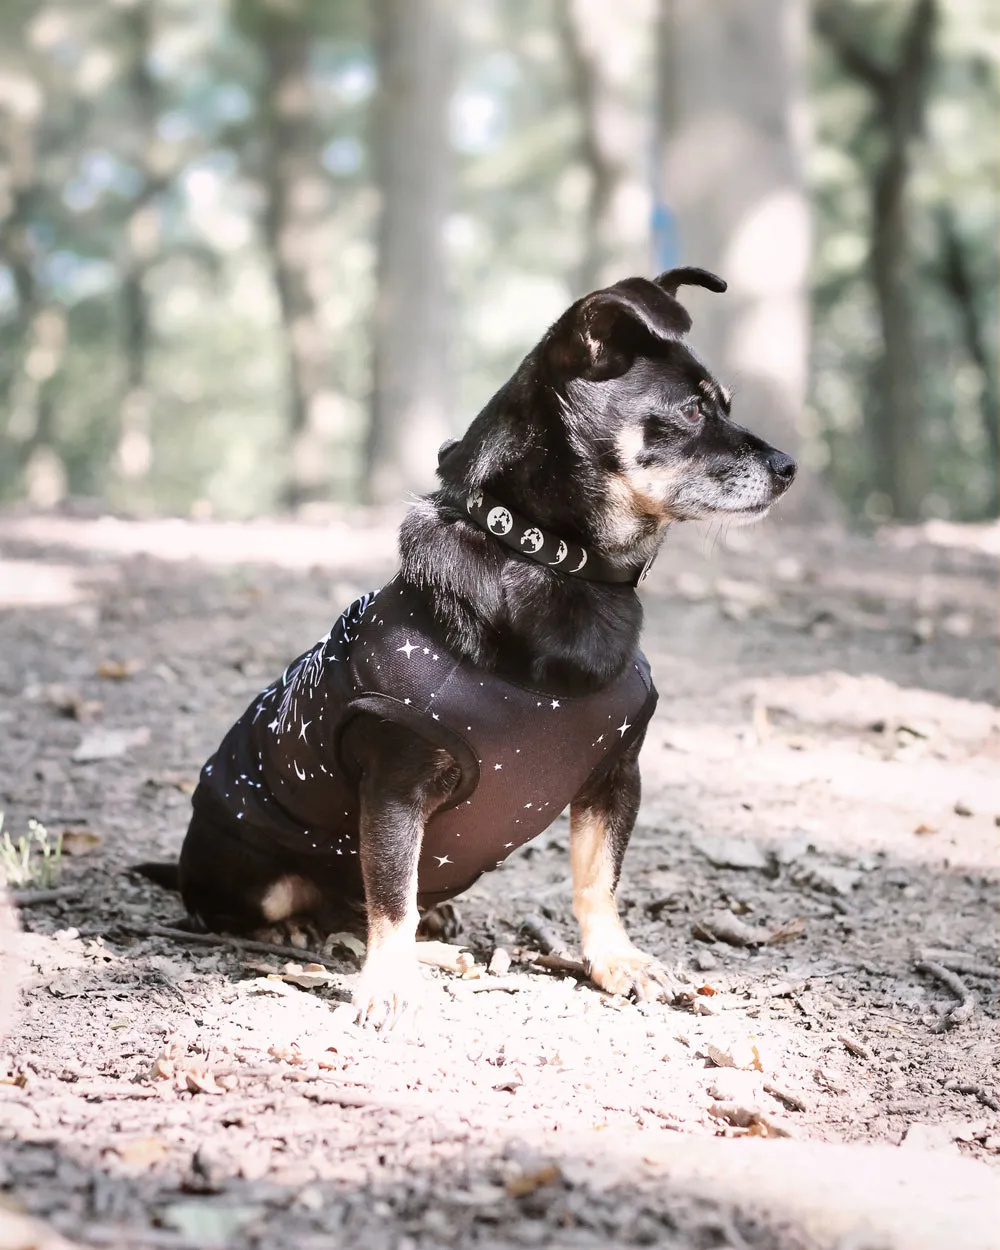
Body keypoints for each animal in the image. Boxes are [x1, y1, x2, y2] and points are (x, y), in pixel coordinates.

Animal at [140, 271, 795, 1025]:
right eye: (691, 409)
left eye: (724, 405)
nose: (789, 466)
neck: (551, 557)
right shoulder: (395, 788)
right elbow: (389, 894)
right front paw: (388, 983)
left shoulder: (615, 778)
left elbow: (598, 882)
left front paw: (617, 962)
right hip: (255, 873)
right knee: (295, 909)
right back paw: (317, 934)